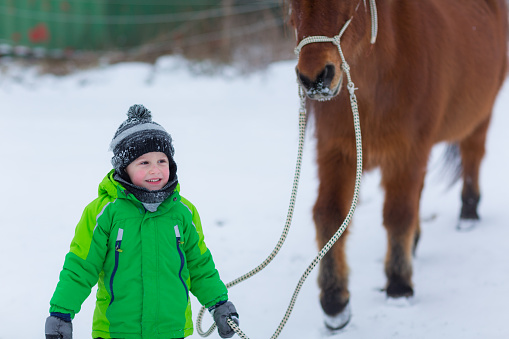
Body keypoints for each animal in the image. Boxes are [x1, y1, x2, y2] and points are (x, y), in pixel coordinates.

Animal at [288, 0, 506, 330]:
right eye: (290, 5)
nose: (315, 79)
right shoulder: (337, 152)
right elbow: (329, 215)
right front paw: (335, 301)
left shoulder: (407, 151)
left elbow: (398, 214)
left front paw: (399, 285)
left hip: (480, 115)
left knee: (472, 156)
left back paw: (468, 213)